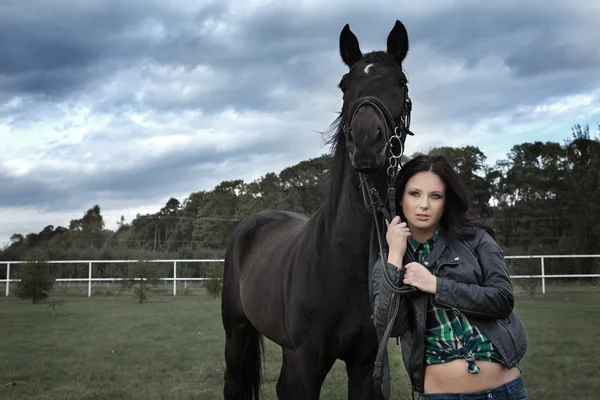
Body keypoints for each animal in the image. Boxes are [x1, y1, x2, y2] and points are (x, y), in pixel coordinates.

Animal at [223, 20, 414, 398]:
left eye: (401, 81)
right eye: (344, 85)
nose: (366, 141)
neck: (342, 260)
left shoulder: (364, 365)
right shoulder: (307, 362)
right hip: (236, 332)